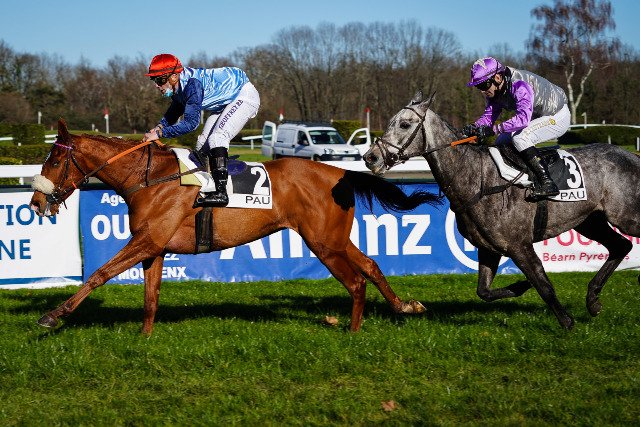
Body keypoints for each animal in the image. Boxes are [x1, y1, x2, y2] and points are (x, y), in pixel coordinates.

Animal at [29, 120, 441, 335]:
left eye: (54, 161)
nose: (35, 203)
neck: (150, 178)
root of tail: (340, 172)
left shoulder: (146, 240)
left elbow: (99, 273)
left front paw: (52, 316)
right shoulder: (154, 247)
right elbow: (150, 296)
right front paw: (145, 337)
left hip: (323, 243)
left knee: (356, 281)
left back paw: (353, 332)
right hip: (334, 238)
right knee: (370, 266)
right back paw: (405, 306)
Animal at [363, 91, 640, 330]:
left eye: (405, 124)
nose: (371, 157)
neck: (478, 179)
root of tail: (631, 156)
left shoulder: (519, 245)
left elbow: (544, 285)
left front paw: (566, 322)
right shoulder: (488, 248)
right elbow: (484, 291)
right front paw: (520, 286)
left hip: (625, 216)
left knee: (624, 241)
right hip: (590, 221)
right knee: (621, 245)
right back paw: (592, 300)